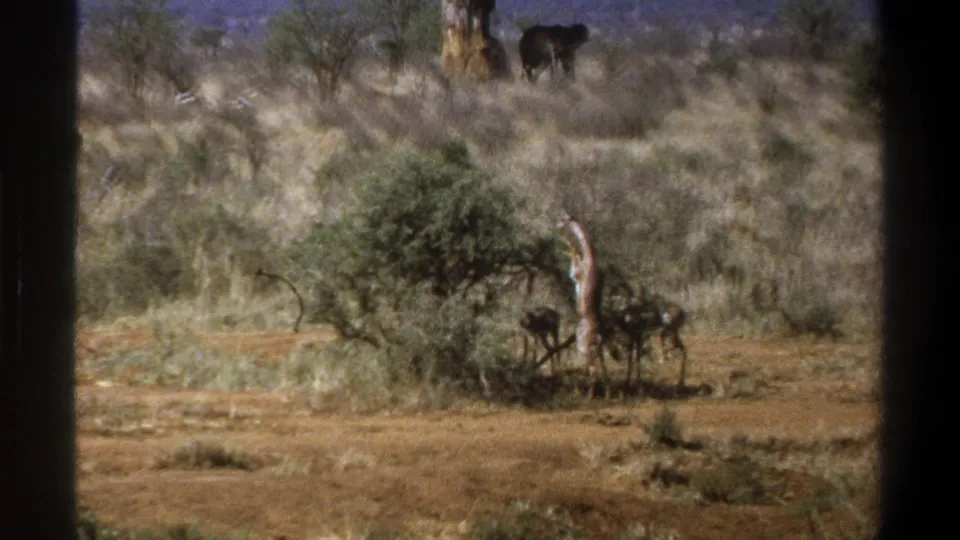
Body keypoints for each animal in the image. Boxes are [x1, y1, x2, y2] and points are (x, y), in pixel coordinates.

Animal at [556, 213, 610, 399]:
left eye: (564, 220)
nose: (557, 225)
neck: (591, 258)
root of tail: (598, 336)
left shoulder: (574, 274)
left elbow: (572, 252)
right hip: (597, 351)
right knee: (603, 369)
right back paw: (609, 395)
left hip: (583, 348)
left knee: (591, 369)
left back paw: (586, 395)